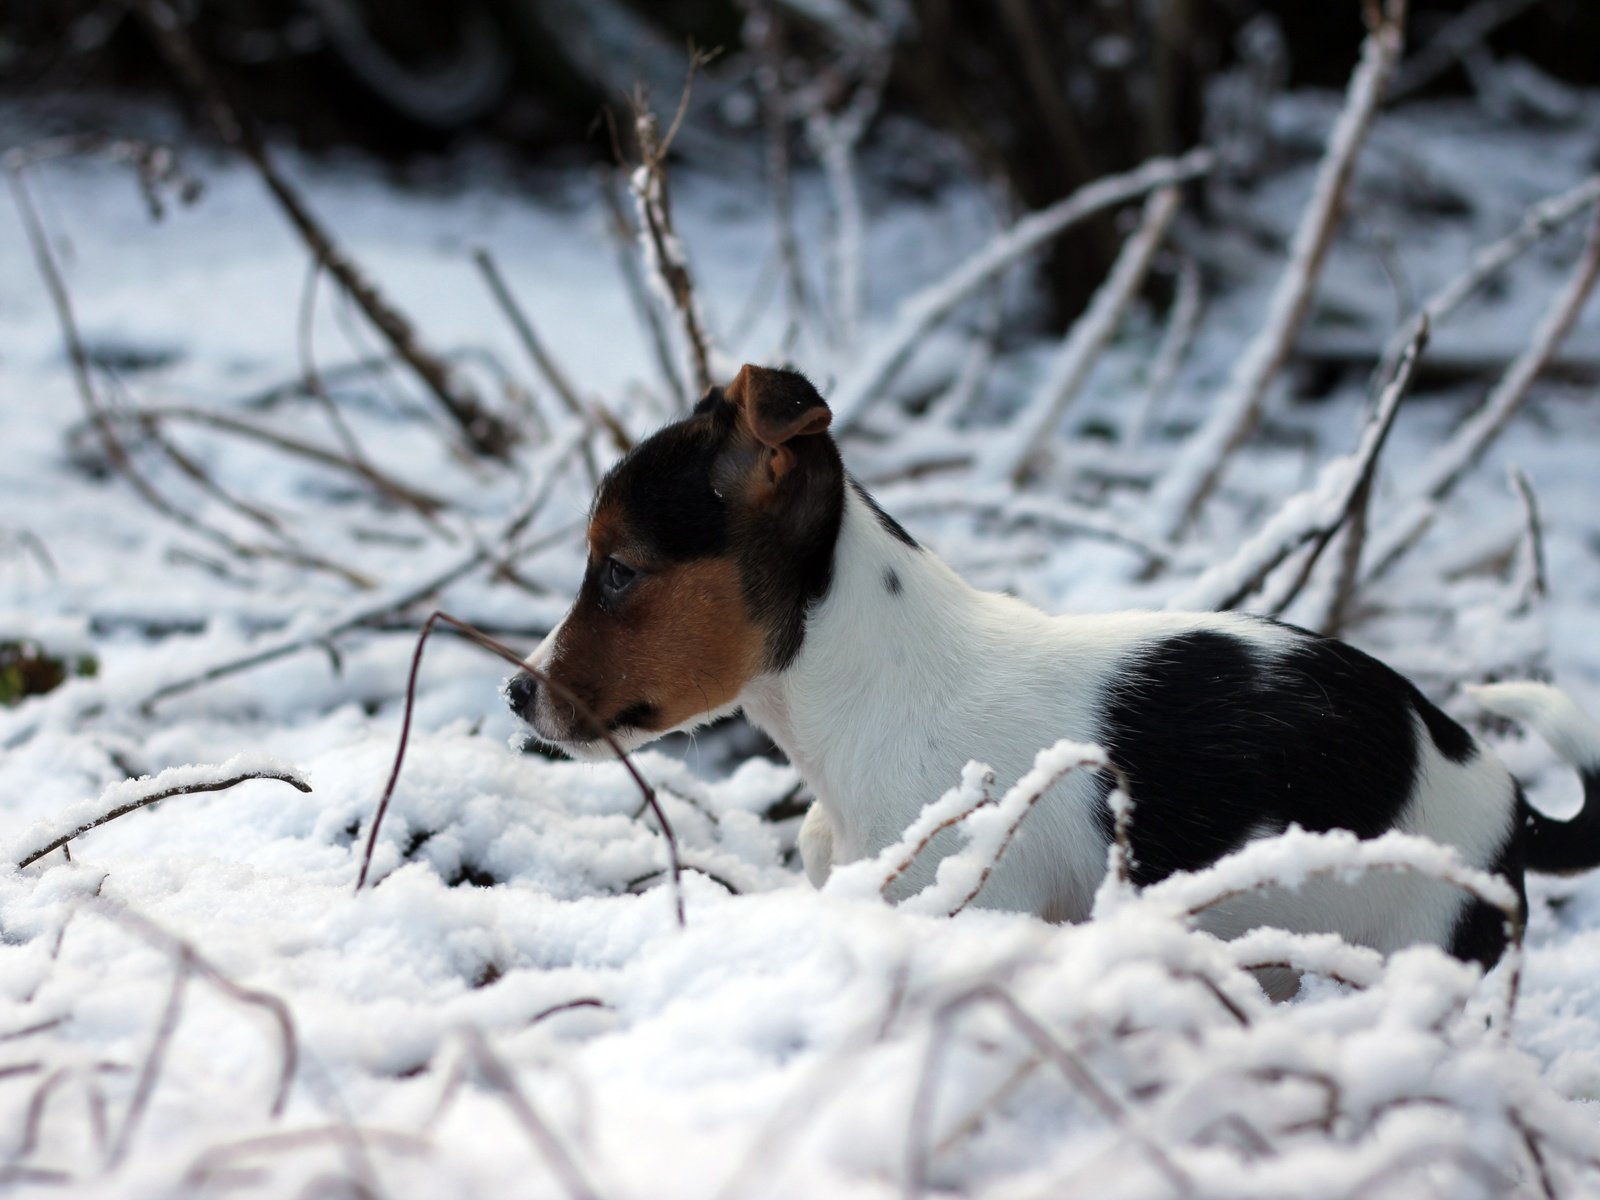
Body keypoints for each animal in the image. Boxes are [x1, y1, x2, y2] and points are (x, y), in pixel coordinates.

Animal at [508, 369, 1600, 998]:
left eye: (618, 570)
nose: (515, 694)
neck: (858, 699)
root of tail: (1510, 803)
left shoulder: (974, 904)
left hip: (1417, 952)